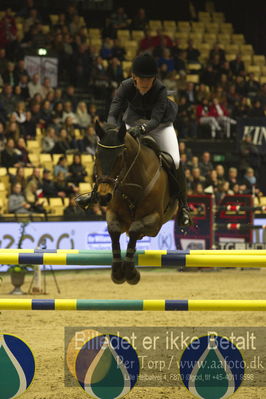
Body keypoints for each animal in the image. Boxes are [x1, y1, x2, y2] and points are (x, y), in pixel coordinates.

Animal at [94, 120, 178, 286]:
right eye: (97, 155)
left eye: (119, 156)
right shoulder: (113, 213)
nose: (104, 196)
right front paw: (117, 272)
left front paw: (131, 273)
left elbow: (134, 229)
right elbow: (113, 230)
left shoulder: (155, 221)